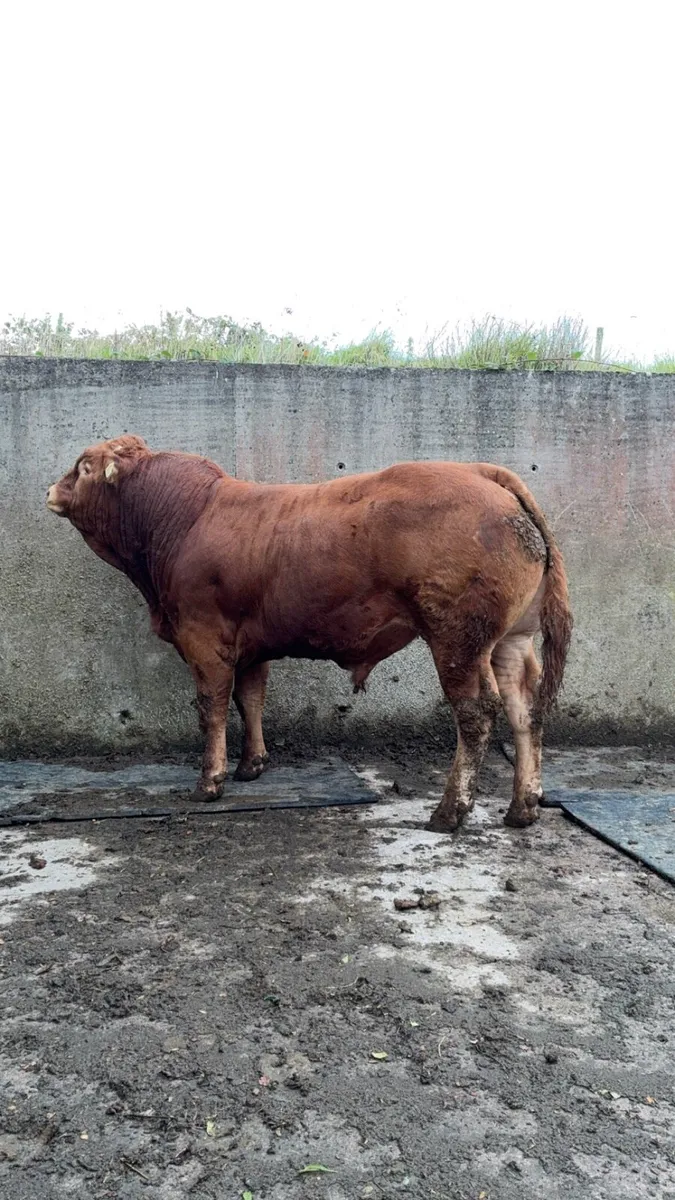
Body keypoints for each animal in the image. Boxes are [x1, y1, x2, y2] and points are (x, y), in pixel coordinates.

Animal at [47, 435, 572, 831]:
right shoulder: (251, 645)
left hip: (458, 639)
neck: (183, 518)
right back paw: (522, 807)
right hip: (510, 641)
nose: (50, 489)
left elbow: (212, 707)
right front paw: (252, 765)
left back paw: (450, 812)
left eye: (83, 467)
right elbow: (250, 699)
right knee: (525, 710)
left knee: (476, 714)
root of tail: (484, 473)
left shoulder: (203, 638)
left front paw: (210, 781)